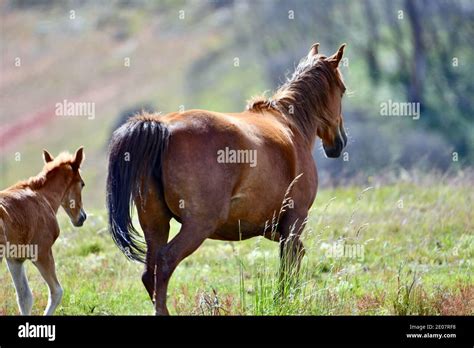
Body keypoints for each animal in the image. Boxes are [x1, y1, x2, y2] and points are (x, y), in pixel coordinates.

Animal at [0, 147, 85, 316]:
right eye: (83, 184)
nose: (82, 217)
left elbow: (25, 297)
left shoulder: (14, 259)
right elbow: (57, 291)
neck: (42, 197)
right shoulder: (42, 252)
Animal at [107, 42, 348, 314]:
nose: (339, 143)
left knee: (150, 272)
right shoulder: (295, 219)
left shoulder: (272, 226)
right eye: (342, 90)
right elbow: (289, 261)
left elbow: (297, 254)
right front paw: (284, 299)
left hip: (155, 223)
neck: (290, 125)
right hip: (198, 226)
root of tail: (163, 128)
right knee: (165, 262)